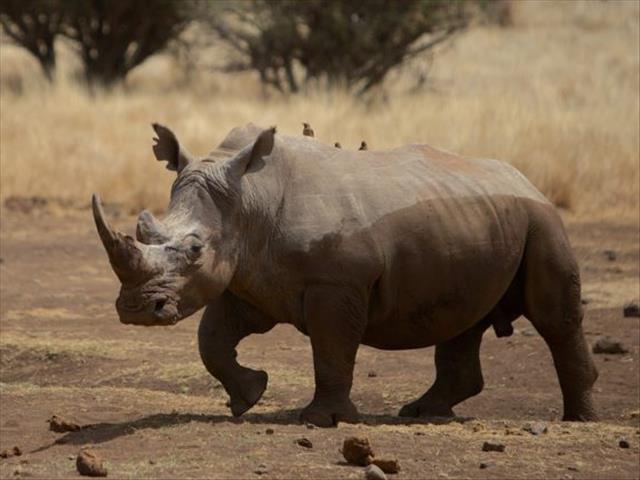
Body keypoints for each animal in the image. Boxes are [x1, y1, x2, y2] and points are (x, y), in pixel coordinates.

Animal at [92, 123, 598, 427]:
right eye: (145, 230)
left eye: (195, 250)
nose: (137, 310)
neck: (248, 198)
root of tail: (525, 179)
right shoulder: (249, 277)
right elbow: (211, 341)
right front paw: (249, 395)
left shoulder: (336, 284)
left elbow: (332, 349)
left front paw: (323, 420)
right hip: (480, 222)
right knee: (463, 319)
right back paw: (420, 413)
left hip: (542, 221)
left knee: (554, 319)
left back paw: (579, 420)